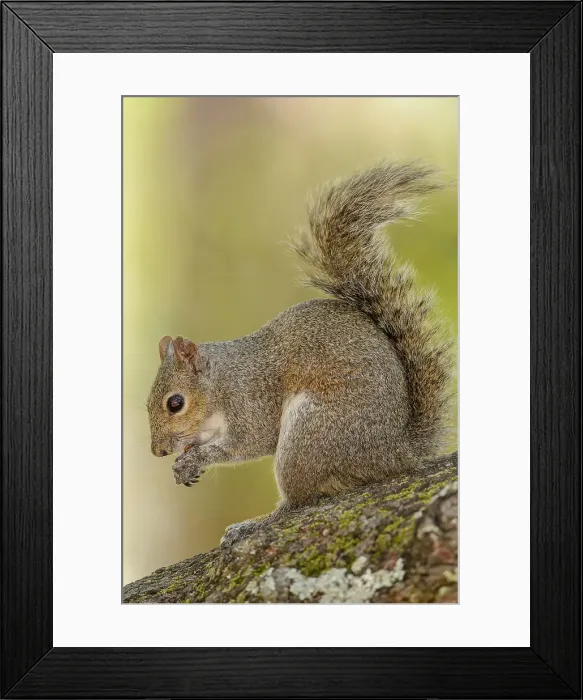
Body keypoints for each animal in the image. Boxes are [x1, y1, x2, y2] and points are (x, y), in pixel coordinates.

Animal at [147, 162, 452, 547]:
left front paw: (197, 458)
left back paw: (254, 524)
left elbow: (249, 442)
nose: (157, 451)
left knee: (297, 500)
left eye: (175, 403)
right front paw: (183, 465)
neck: (221, 383)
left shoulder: (252, 400)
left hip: (310, 435)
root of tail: (394, 454)